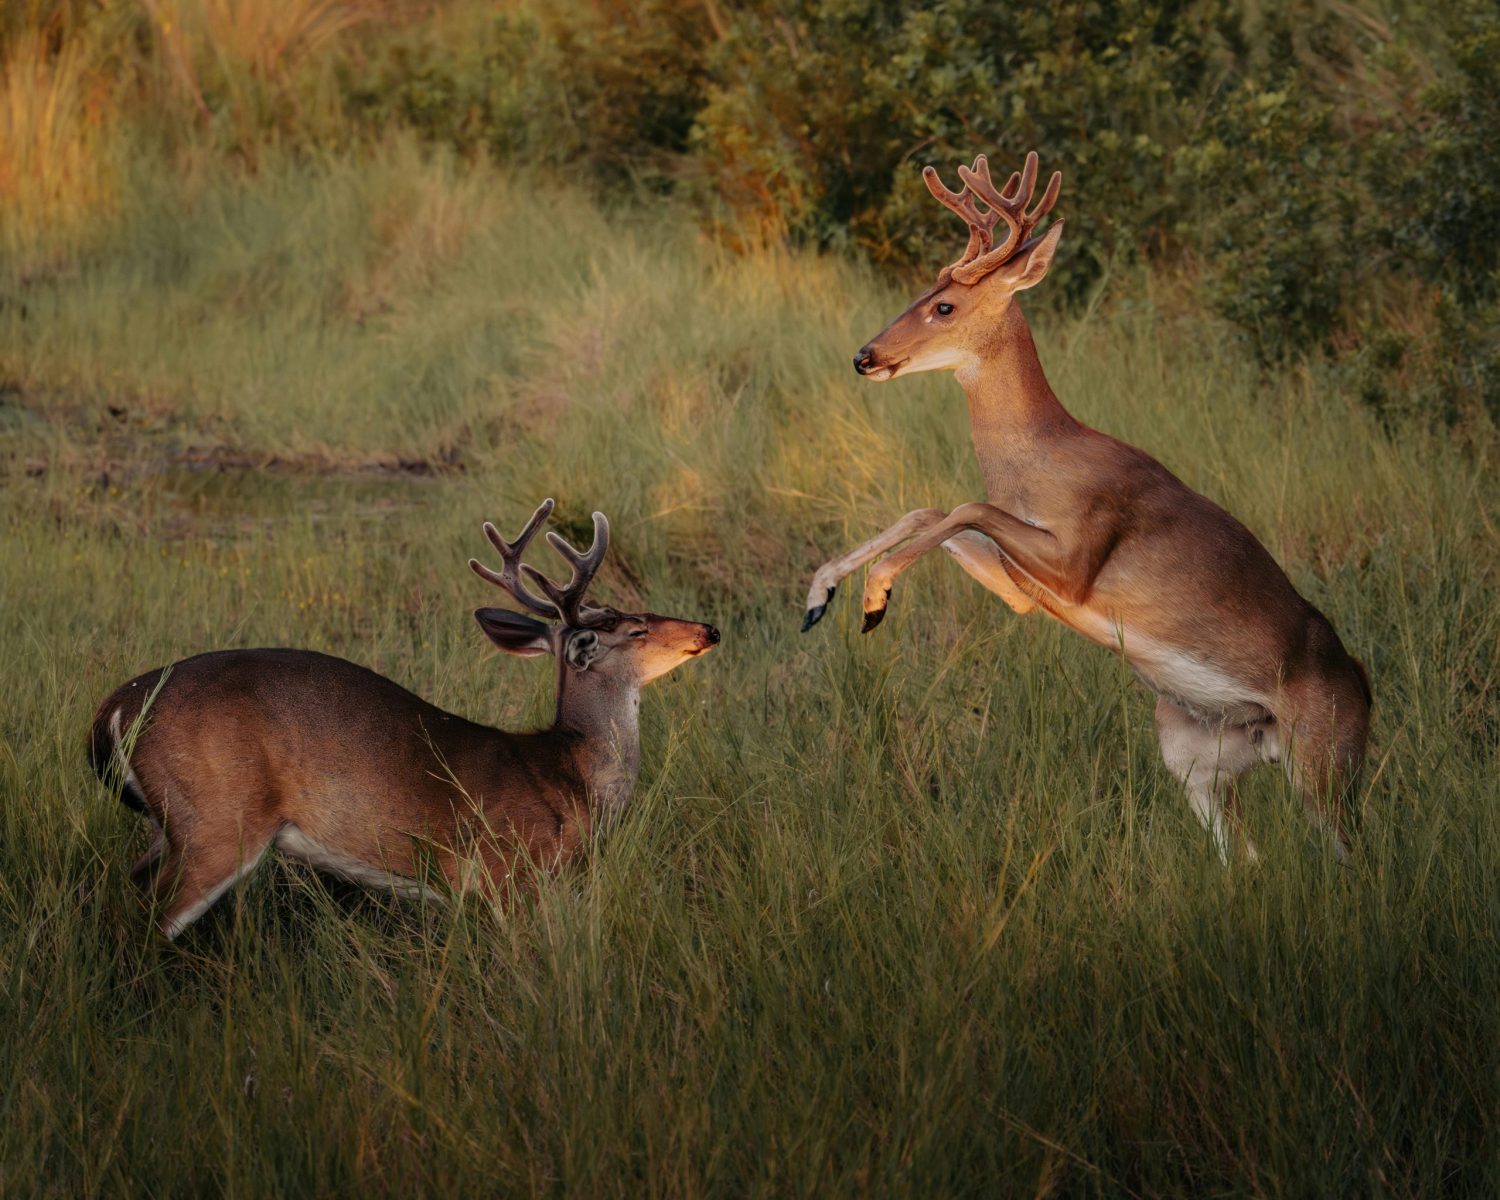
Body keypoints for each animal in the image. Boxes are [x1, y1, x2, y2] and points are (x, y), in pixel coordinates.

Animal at [88, 499, 719, 938]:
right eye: (636, 628)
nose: (708, 629)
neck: (571, 777)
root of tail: (115, 708)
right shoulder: (507, 876)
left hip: (168, 821)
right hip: (218, 818)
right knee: (145, 918)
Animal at [802, 151, 1370, 861]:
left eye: (944, 305)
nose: (865, 356)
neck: (1044, 458)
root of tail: (1369, 694)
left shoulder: (1078, 557)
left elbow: (963, 505)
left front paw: (873, 600)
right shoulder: (1026, 588)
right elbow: (931, 514)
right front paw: (820, 597)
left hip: (1324, 760)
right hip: (1195, 757)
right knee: (1248, 857)